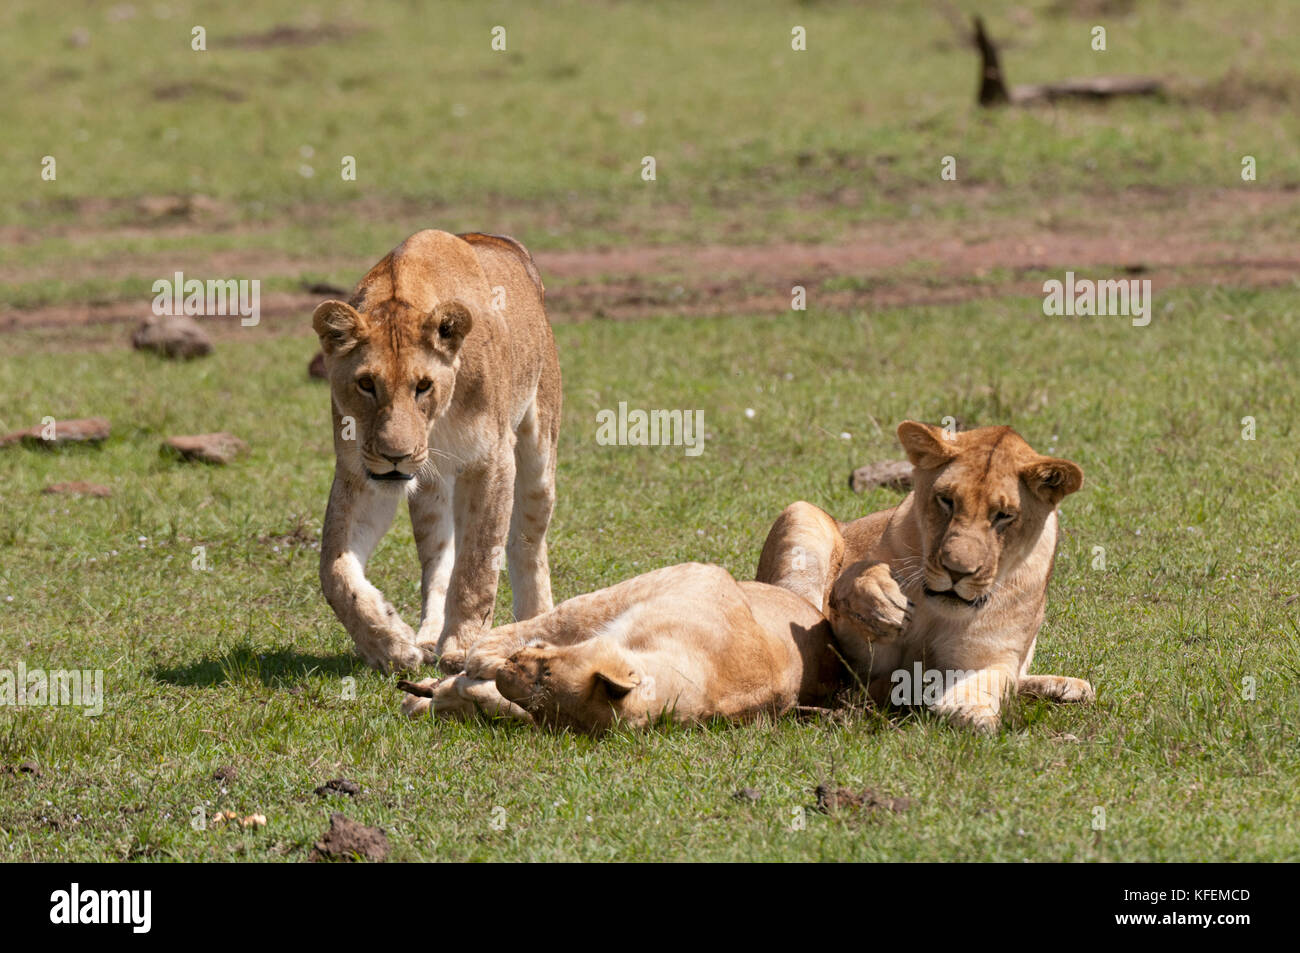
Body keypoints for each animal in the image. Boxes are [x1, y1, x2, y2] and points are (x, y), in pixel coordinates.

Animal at [313, 229, 560, 673]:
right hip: (431, 492)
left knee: (527, 542)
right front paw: (389, 644)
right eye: (366, 384)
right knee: (438, 562)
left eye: (423, 386)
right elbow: (334, 570)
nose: (396, 455)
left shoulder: (492, 460)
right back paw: (429, 637)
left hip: (538, 450)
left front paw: (462, 647)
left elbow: (478, 566)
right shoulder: (361, 473)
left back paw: (533, 623)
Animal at [756, 420, 1093, 732]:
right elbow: (855, 584)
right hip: (801, 514)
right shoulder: (859, 659)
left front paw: (970, 710)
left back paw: (1068, 687)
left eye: (1004, 515)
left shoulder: (989, 655)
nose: (957, 571)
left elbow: (993, 679)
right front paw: (883, 602)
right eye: (946, 500)